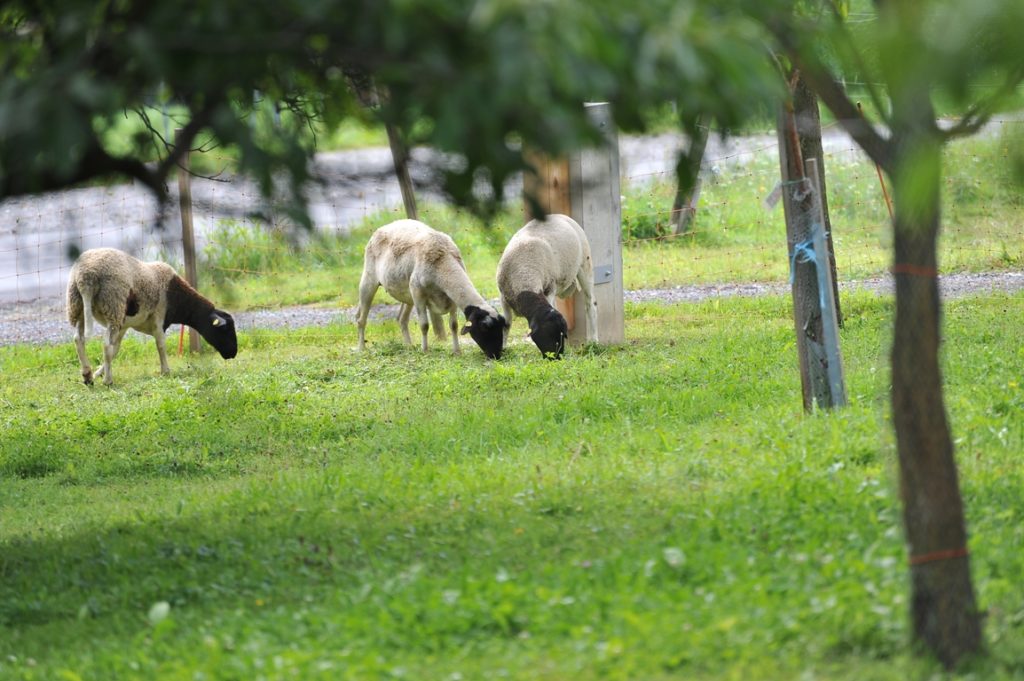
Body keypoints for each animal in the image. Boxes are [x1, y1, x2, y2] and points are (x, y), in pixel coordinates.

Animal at [66, 245, 237, 382]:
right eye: (225, 330)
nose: (233, 354)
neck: (178, 298)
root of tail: (86, 277)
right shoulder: (158, 317)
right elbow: (160, 344)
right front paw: (166, 371)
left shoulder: (124, 325)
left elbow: (116, 351)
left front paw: (97, 373)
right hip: (113, 305)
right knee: (105, 345)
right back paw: (108, 381)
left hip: (80, 306)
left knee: (79, 339)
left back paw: (87, 376)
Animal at [356, 219, 507, 358]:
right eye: (484, 327)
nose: (496, 355)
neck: (443, 261)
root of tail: (385, 226)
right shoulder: (418, 293)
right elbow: (424, 325)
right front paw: (425, 350)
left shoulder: (451, 297)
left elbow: (454, 325)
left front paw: (457, 351)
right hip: (369, 280)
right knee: (361, 319)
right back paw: (362, 348)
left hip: (407, 293)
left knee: (401, 319)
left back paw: (409, 346)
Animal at [497, 215, 598, 358]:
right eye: (547, 335)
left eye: (562, 334)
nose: (557, 358)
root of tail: (558, 215)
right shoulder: (503, 298)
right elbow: (506, 323)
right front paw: (503, 348)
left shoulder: (549, 289)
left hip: (585, 264)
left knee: (590, 304)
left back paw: (594, 341)